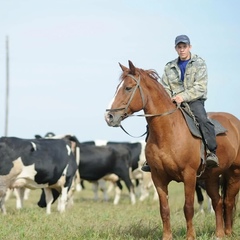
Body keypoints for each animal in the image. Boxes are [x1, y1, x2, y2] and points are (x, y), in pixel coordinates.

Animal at [105, 60, 240, 240]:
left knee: (228, 202)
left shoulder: (189, 176)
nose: (109, 117)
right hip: (211, 177)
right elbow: (164, 210)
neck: (169, 132)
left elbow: (188, 208)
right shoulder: (158, 177)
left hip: (234, 174)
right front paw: (167, 237)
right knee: (218, 202)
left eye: (128, 88)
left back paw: (228, 232)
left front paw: (190, 236)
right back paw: (219, 234)